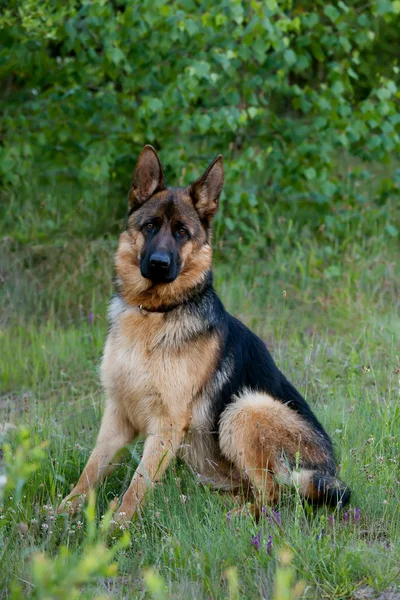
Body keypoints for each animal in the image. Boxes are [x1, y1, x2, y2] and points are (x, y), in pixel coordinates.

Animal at [59, 145, 350, 524]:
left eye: (182, 232)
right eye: (150, 227)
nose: (159, 264)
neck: (156, 313)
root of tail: (329, 469)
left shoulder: (166, 425)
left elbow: (136, 486)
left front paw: (116, 528)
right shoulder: (117, 417)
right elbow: (90, 472)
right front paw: (59, 514)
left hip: (245, 409)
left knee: (275, 495)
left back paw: (238, 518)